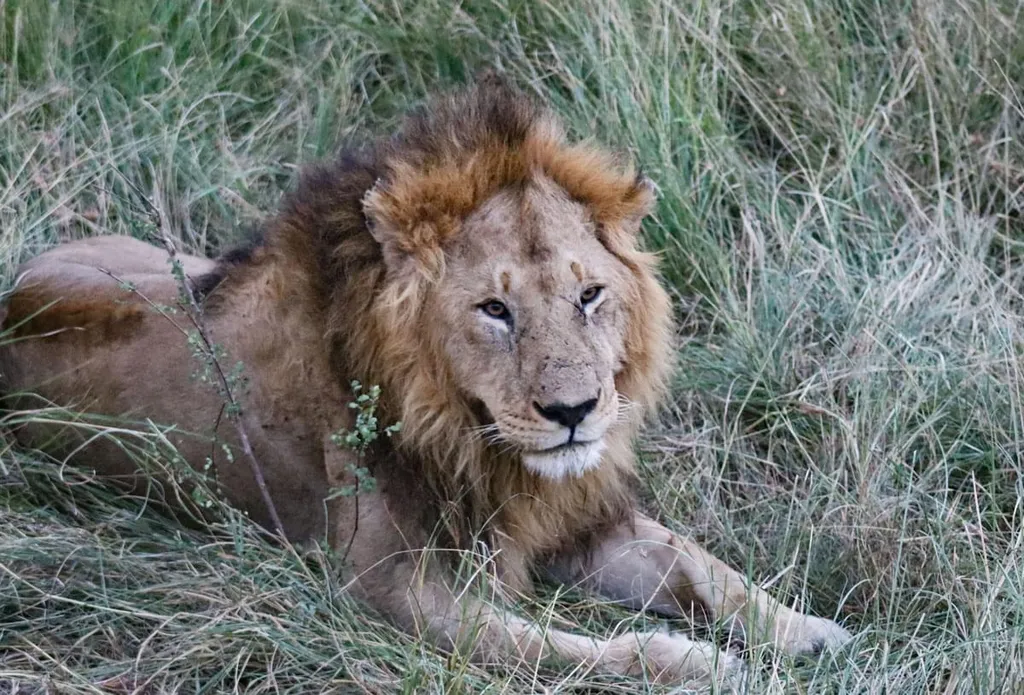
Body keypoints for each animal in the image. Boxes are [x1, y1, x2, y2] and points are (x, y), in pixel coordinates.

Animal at [0, 78, 851, 683]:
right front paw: (706, 663)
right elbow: (580, 649)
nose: (575, 410)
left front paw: (807, 630)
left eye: (589, 294)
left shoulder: (571, 520)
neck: (476, 440)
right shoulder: (394, 594)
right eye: (495, 309)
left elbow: (703, 566)